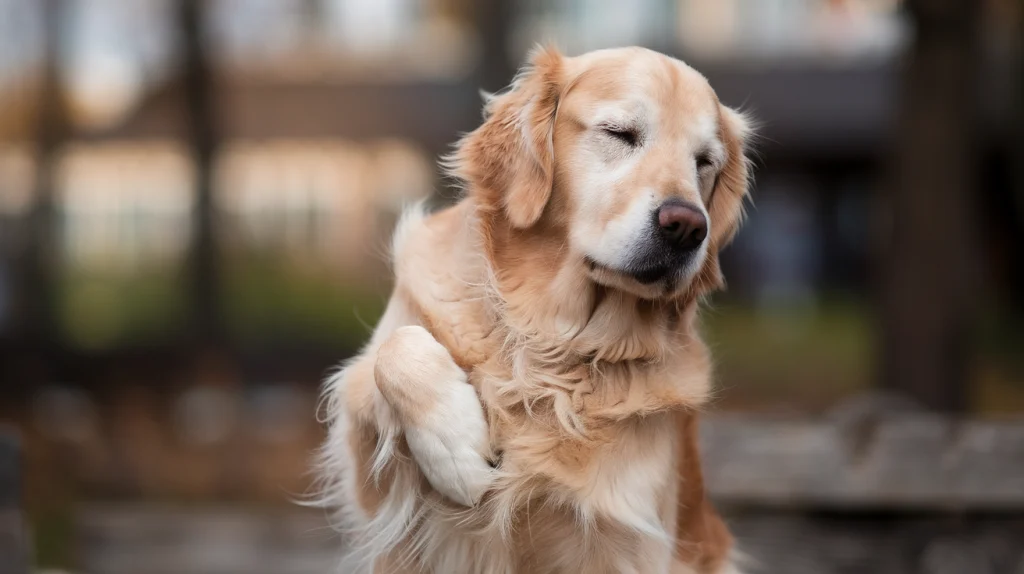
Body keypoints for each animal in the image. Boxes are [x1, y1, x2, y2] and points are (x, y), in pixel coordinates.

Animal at [315, 45, 757, 572]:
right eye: (620, 133)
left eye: (704, 162)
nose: (688, 226)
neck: (551, 340)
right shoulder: (374, 486)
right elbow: (389, 355)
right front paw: (457, 452)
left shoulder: (628, 536)